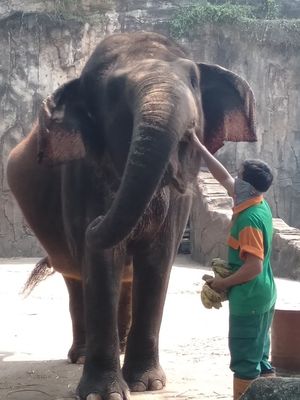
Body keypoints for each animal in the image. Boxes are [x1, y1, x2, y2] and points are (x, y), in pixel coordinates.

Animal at [6, 32, 255, 400]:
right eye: (113, 94)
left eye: (193, 81)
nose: (95, 221)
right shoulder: (85, 177)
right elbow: (101, 258)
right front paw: (103, 393)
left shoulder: (178, 200)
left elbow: (157, 259)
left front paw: (146, 385)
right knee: (76, 278)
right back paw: (81, 356)